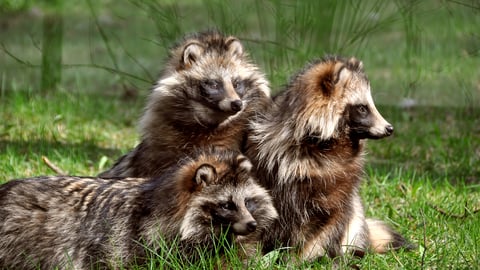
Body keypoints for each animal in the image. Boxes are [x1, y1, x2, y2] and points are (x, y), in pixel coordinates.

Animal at [248, 56, 412, 260]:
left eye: (368, 106)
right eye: (362, 108)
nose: (389, 128)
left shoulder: (340, 181)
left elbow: (329, 220)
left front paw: (302, 257)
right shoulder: (269, 165)